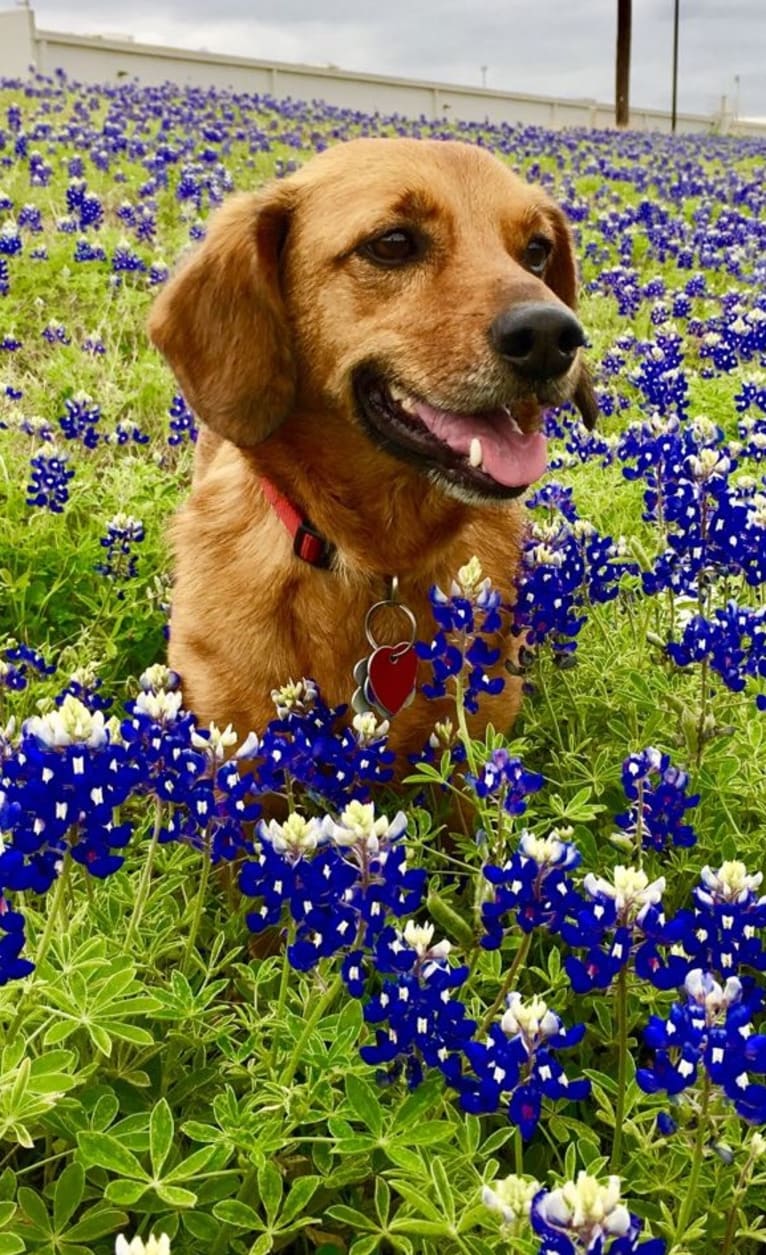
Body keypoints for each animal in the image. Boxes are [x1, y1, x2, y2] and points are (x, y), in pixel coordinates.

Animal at [147, 137, 590, 763]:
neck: (376, 561)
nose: (553, 335)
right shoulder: (230, 741)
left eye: (536, 251)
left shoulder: (468, 746)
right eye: (393, 244)